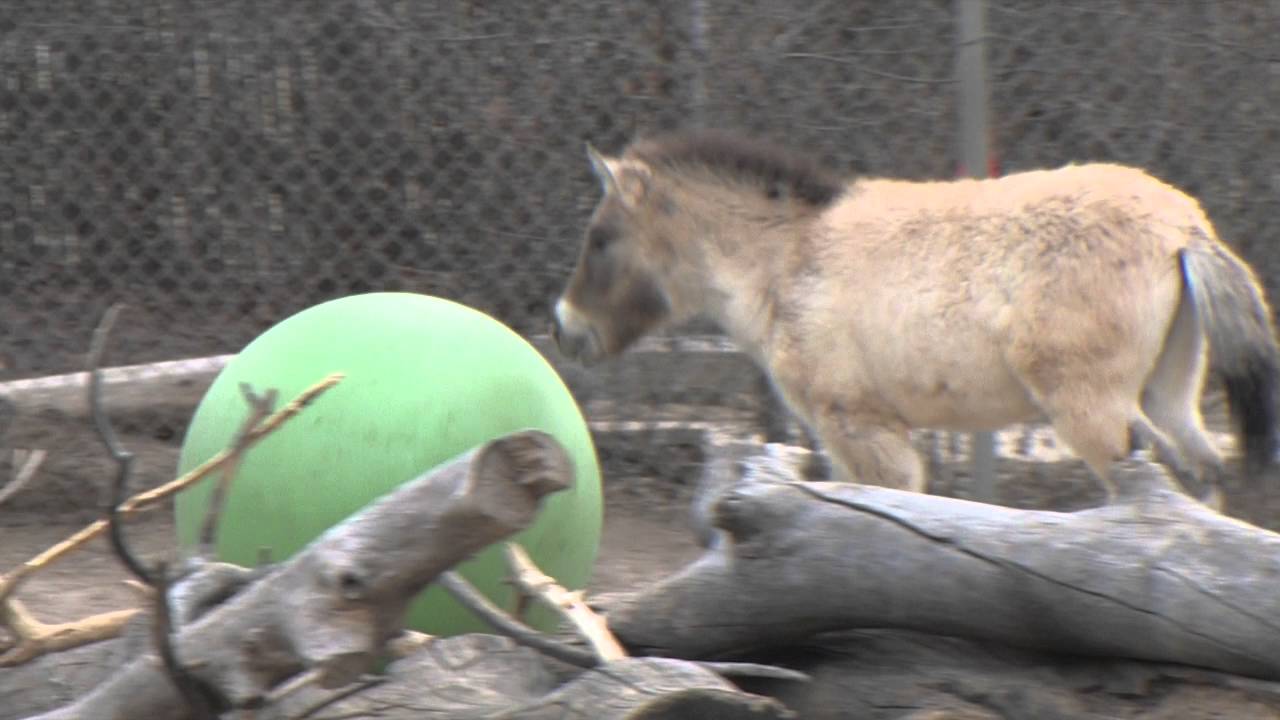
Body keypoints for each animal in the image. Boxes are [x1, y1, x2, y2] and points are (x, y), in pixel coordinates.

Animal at [549, 127, 1280, 508]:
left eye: (601, 238)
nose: (563, 327)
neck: (791, 261)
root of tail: (1183, 230)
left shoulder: (861, 427)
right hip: (1168, 394)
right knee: (1203, 476)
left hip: (1092, 410)